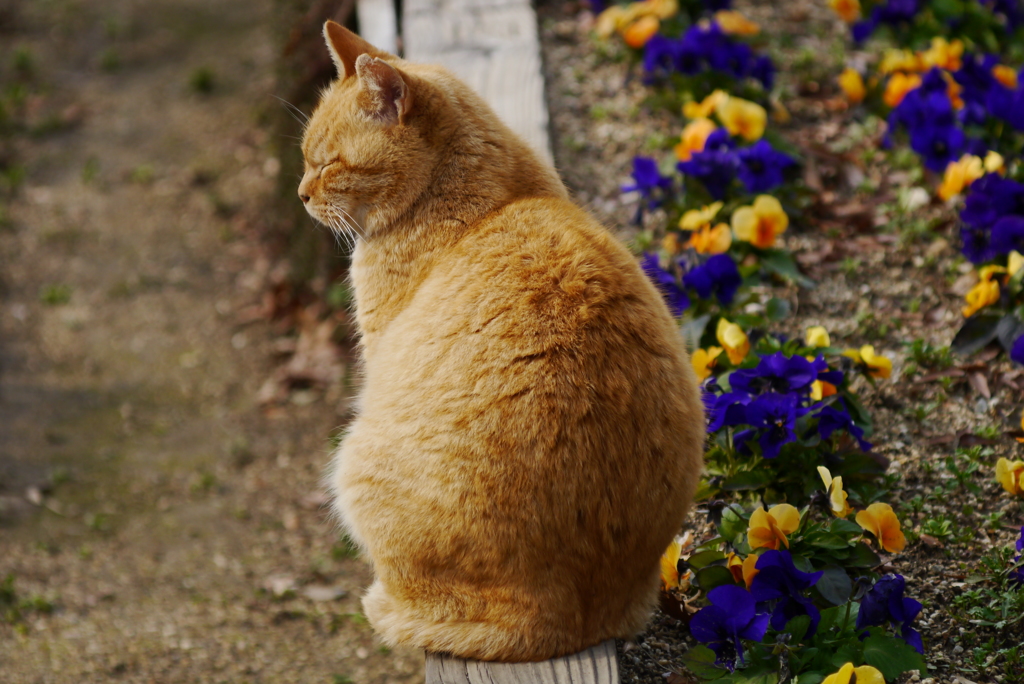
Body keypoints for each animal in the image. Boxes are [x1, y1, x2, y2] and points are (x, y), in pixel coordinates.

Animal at [299, 21, 704, 663]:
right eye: (305, 159)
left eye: (329, 164)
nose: (300, 194)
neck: (483, 193)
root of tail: (566, 620)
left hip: (354, 463)